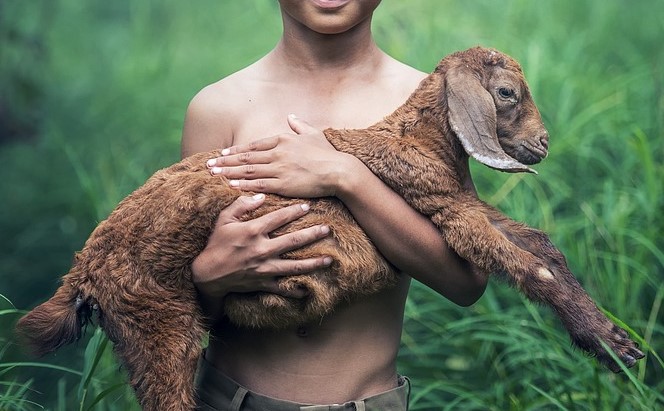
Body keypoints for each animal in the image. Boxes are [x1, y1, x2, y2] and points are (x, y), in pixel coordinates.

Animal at [16, 47, 644, 410]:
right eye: (508, 94)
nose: (543, 144)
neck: (418, 141)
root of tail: (82, 274)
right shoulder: (445, 208)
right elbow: (531, 267)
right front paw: (611, 344)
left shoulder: (462, 202)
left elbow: (542, 245)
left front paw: (613, 343)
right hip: (156, 321)